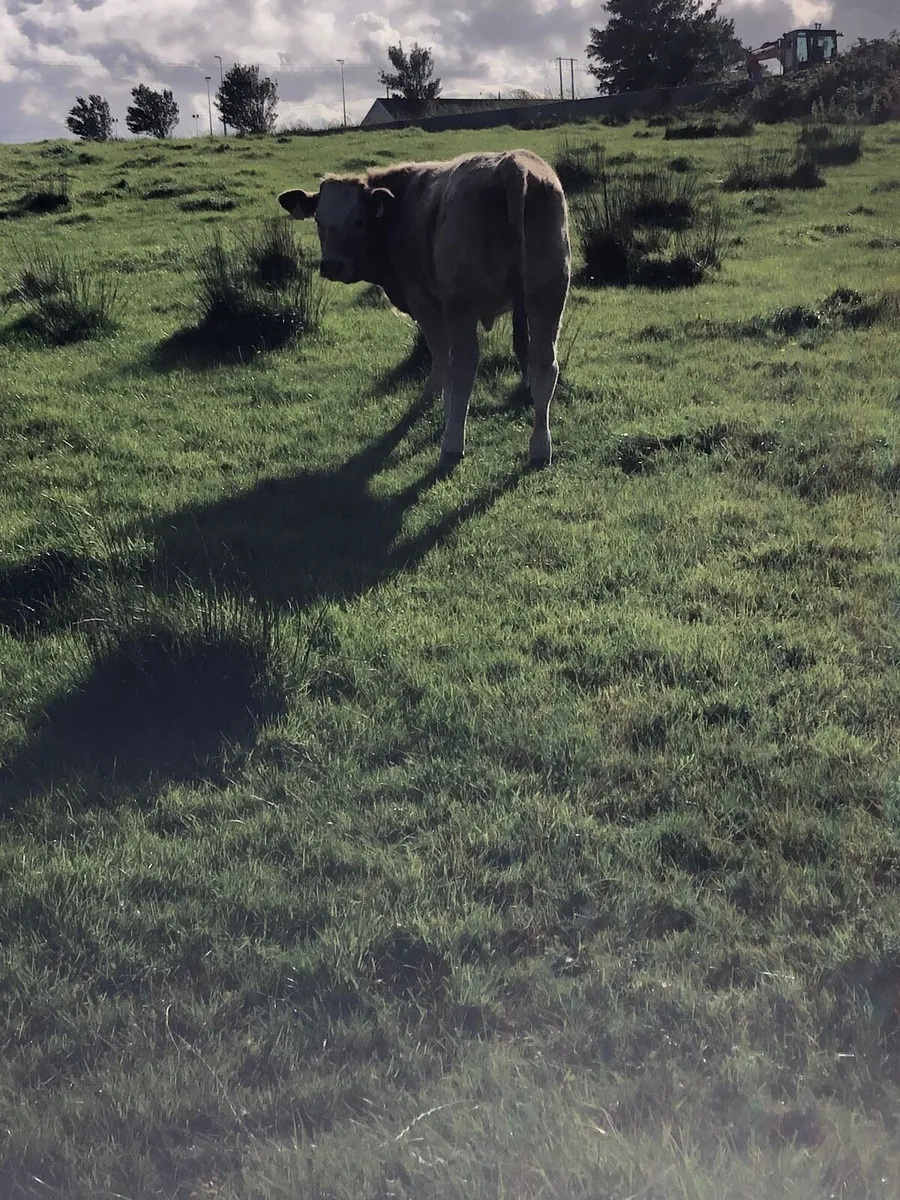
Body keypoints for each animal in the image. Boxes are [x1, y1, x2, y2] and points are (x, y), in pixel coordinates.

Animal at [277, 149, 570, 467]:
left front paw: (442, 404)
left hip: (463, 306)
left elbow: (441, 359)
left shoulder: (426, 304)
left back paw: (452, 443)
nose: (332, 265)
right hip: (547, 295)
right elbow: (521, 347)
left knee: (464, 365)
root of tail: (512, 163)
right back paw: (540, 446)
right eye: (319, 220)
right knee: (545, 364)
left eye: (359, 221)